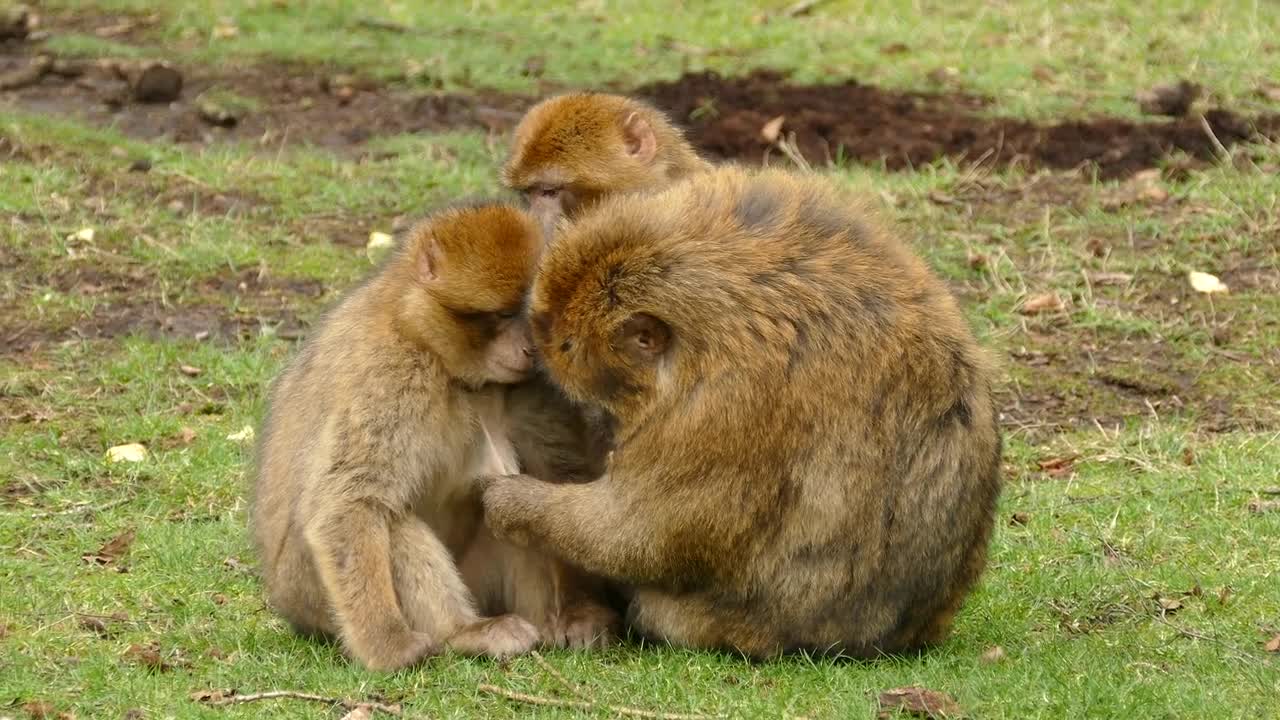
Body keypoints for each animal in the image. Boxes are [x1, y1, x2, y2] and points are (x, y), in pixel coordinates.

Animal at [478, 166, 998, 655]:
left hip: (740, 625)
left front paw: (515, 503)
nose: (539, 353)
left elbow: (642, 534)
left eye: (565, 345)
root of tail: (905, 635)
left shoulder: (721, 407)